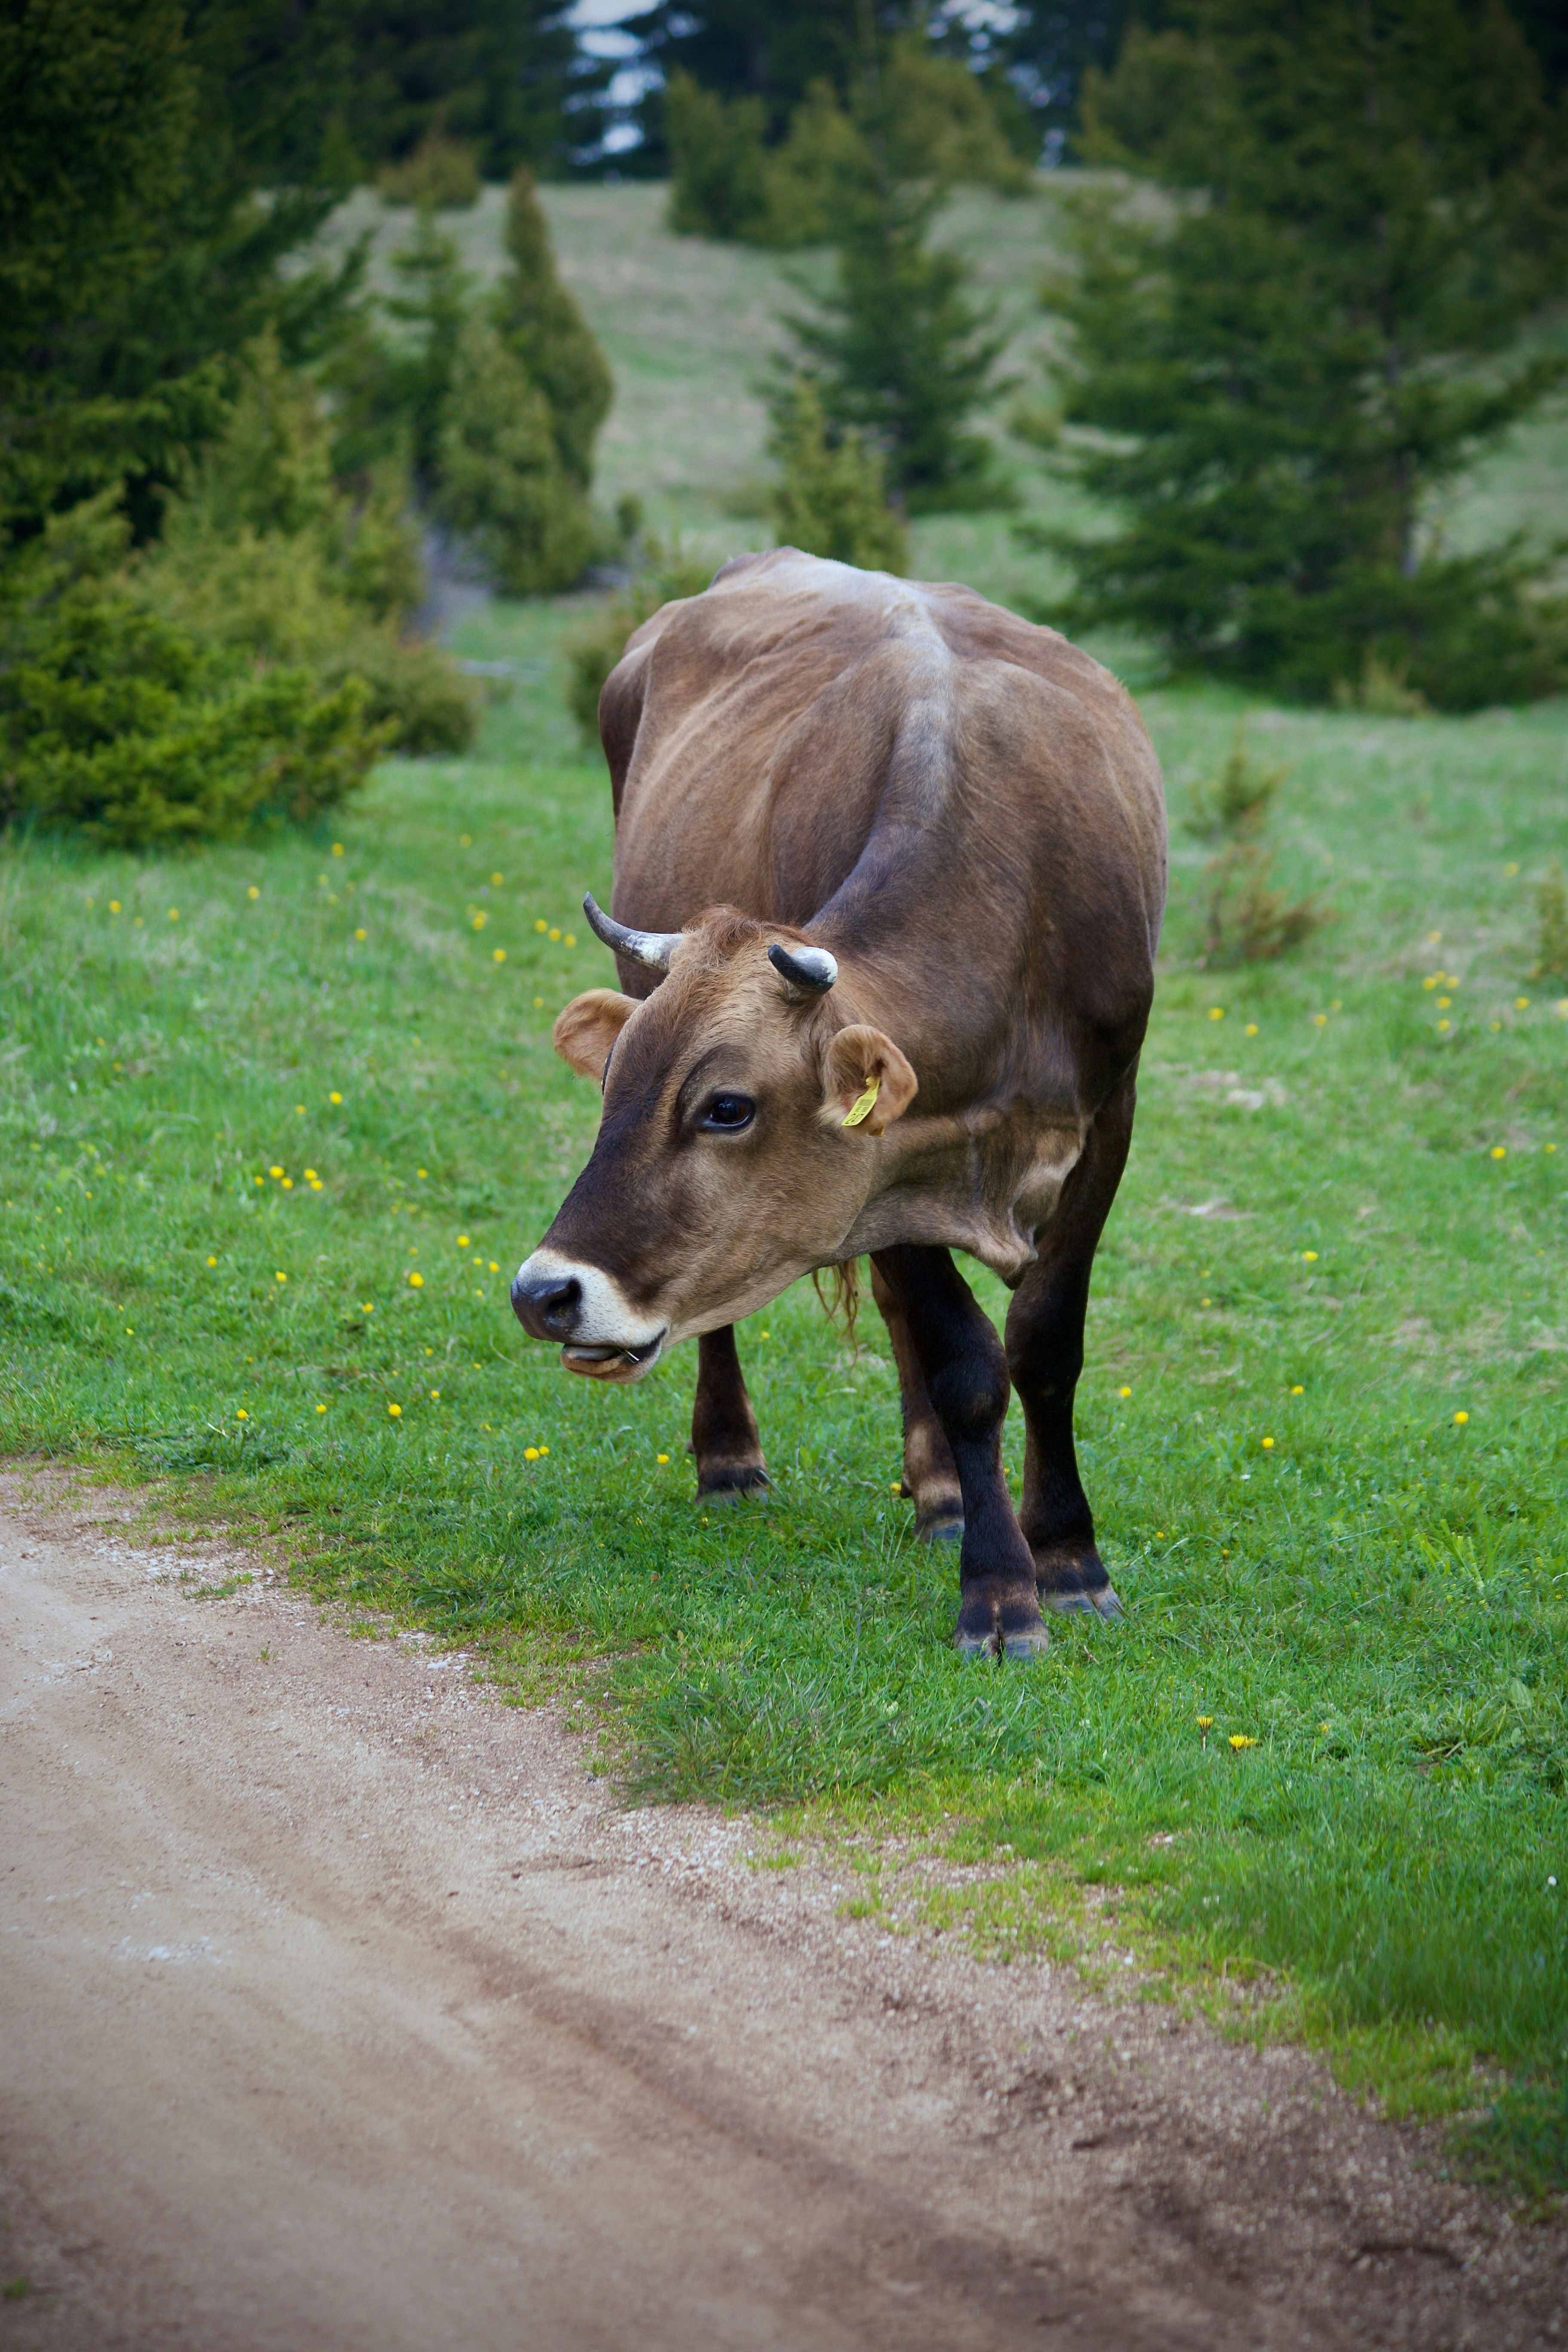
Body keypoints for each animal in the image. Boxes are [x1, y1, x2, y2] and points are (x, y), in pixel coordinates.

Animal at [511, 549, 1166, 1659]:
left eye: (727, 1107)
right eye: (614, 1085)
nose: (544, 1292)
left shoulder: (1109, 1112)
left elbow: (1044, 1343)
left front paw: (1069, 1556)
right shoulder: (880, 1171)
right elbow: (963, 1361)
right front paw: (1000, 1589)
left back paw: (939, 1494)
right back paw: (734, 1457)